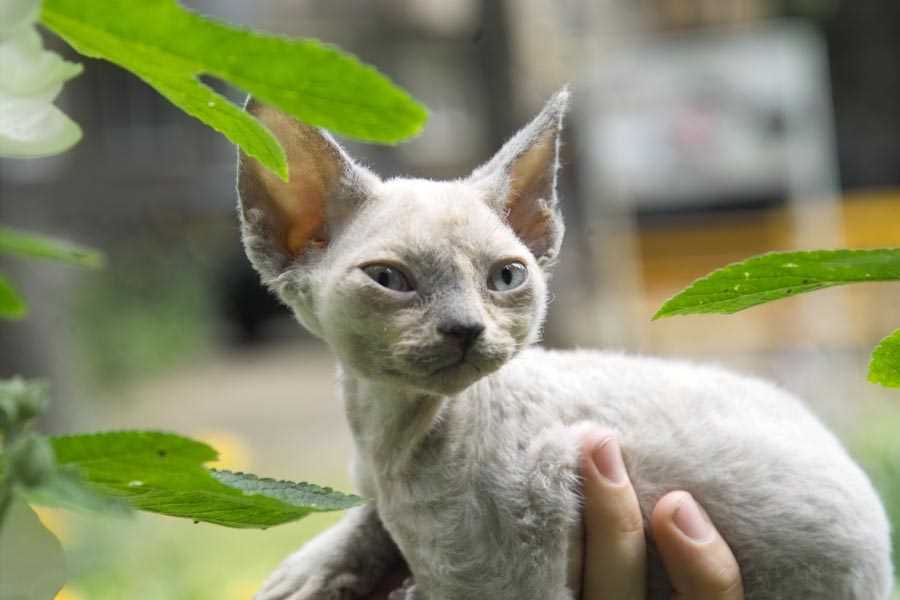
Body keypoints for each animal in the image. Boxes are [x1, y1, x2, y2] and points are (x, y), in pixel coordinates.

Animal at [239, 90, 892, 600]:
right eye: (389, 279)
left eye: (506, 276)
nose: (466, 328)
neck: (390, 438)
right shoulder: (380, 490)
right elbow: (365, 520)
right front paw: (313, 571)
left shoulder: (512, 551)